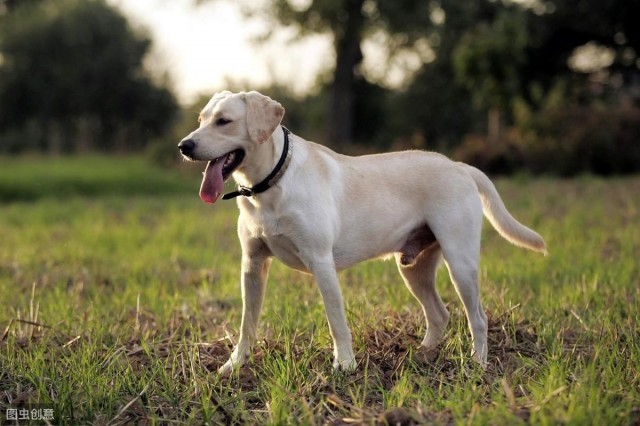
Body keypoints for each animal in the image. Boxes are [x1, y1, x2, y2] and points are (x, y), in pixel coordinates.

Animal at [178, 90, 548, 372]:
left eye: (224, 121)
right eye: (201, 120)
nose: (184, 146)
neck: (270, 184)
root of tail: (460, 166)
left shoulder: (321, 263)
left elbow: (336, 321)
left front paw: (345, 365)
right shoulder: (253, 265)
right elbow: (247, 324)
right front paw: (233, 365)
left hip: (461, 262)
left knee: (478, 318)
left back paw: (477, 365)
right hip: (414, 268)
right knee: (439, 314)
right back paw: (423, 355)